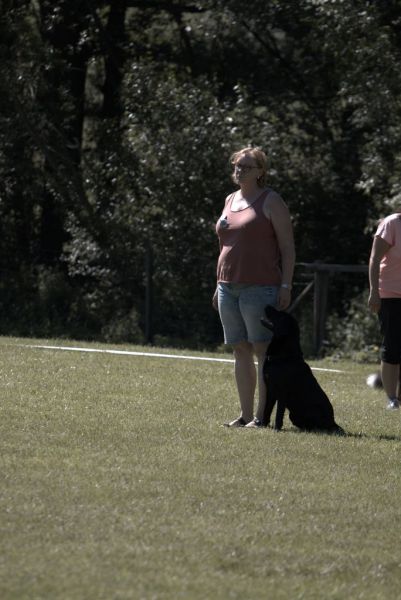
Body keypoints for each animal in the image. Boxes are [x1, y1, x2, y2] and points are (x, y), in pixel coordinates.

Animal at [261, 306, 344, 434]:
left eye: (280, 315)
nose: (267, 305)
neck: (283, 356)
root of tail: (333, 422)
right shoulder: (270, 389)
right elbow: (267, 410)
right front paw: (262, 426)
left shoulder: (282, 392)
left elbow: (278, 414)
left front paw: (276, 429)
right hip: (293, 415)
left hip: (312, 410)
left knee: (319, 427)